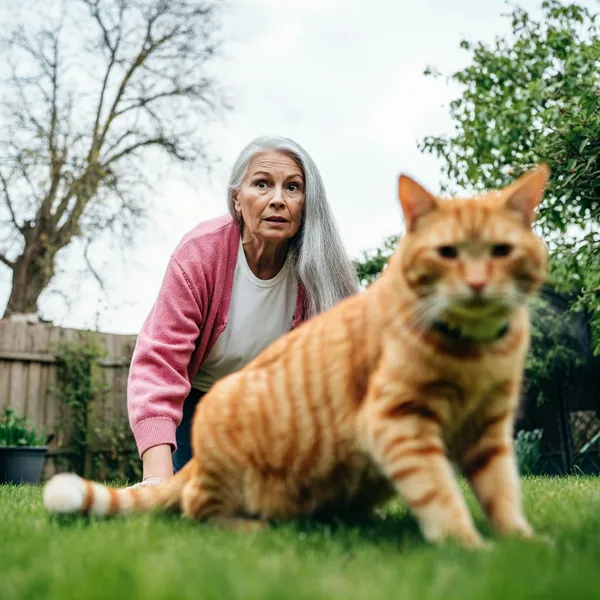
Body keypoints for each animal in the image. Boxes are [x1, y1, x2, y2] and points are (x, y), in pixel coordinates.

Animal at [43, 164, 548, 548]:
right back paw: (252, 527)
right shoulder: (399, 418)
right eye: (447, 253)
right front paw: (469, 547)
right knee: (195, 510)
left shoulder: (489, 430)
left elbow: (502, 490)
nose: (478, 284)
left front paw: (523, 544)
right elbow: (439, 493)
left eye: (501, 251)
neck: (474, 351)